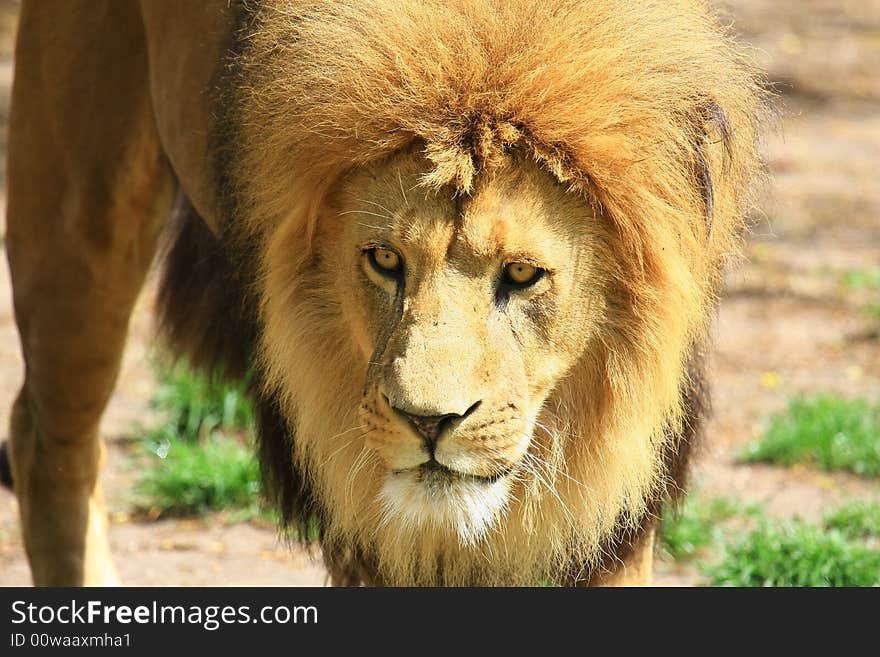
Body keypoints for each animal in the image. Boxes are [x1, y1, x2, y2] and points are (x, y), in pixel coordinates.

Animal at [1, 0, 764, 584]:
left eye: (521, 274)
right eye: (385, 259)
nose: (428, 422)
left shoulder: (617, 513)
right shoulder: (362, 520)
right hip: (82, 208)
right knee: (49, 440)